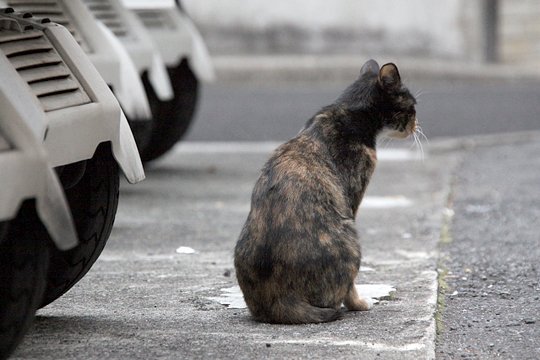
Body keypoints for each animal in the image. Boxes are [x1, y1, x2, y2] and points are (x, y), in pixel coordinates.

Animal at [233, 59, 418, 324]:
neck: (346, 112)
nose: (416, 125)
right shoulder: (352, 199)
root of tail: (279, 301)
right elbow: (351, 288)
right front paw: (360, 304)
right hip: (350, 237)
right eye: (413, 107)